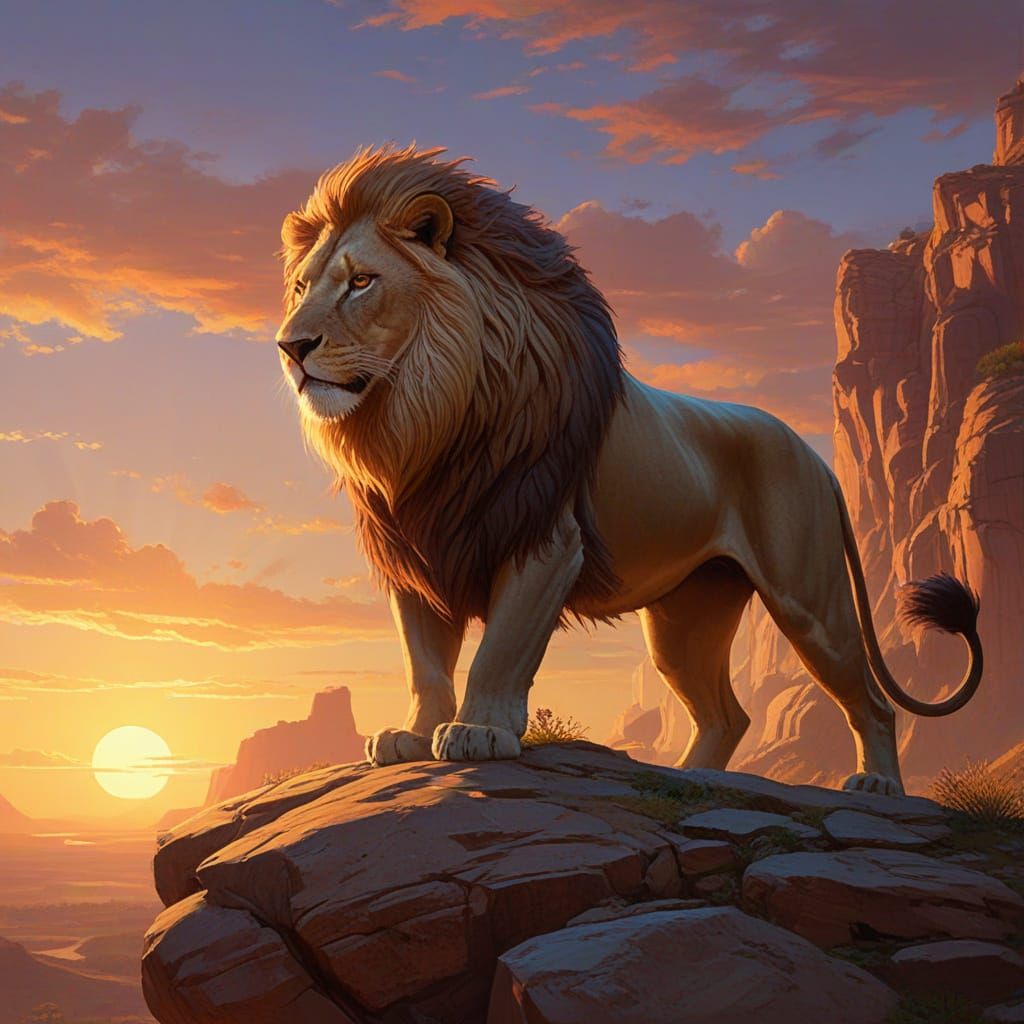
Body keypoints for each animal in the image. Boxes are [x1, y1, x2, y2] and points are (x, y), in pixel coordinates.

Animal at [275, 145, 982, 795]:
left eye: (361, 282)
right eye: (302, 287)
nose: (290, 346)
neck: (422, 420)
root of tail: (816, 457)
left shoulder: (546, 541)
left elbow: (499, 649)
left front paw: (481, 732)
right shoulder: (421, 549)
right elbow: (423, 662)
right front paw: (413, 736)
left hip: (809, 600)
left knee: (872, 701)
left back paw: (878, 785)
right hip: (685, 620)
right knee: (728, 715)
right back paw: (695, 779)